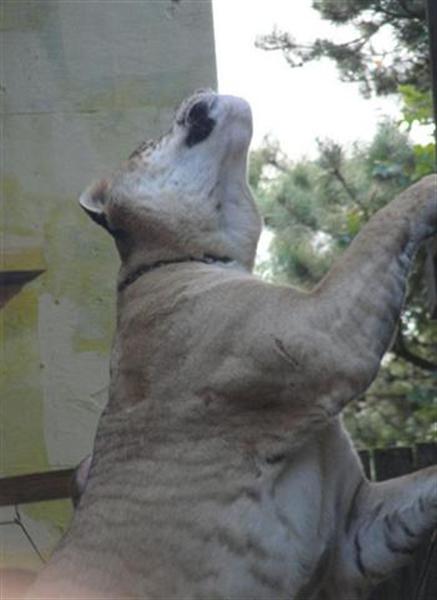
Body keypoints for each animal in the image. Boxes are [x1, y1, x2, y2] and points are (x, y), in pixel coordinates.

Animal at [28, 90, 436, 600]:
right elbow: (384, 222)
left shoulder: (354, 531)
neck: (189, 257)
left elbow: (427, 481)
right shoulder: (321, 334)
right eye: (145, 143)